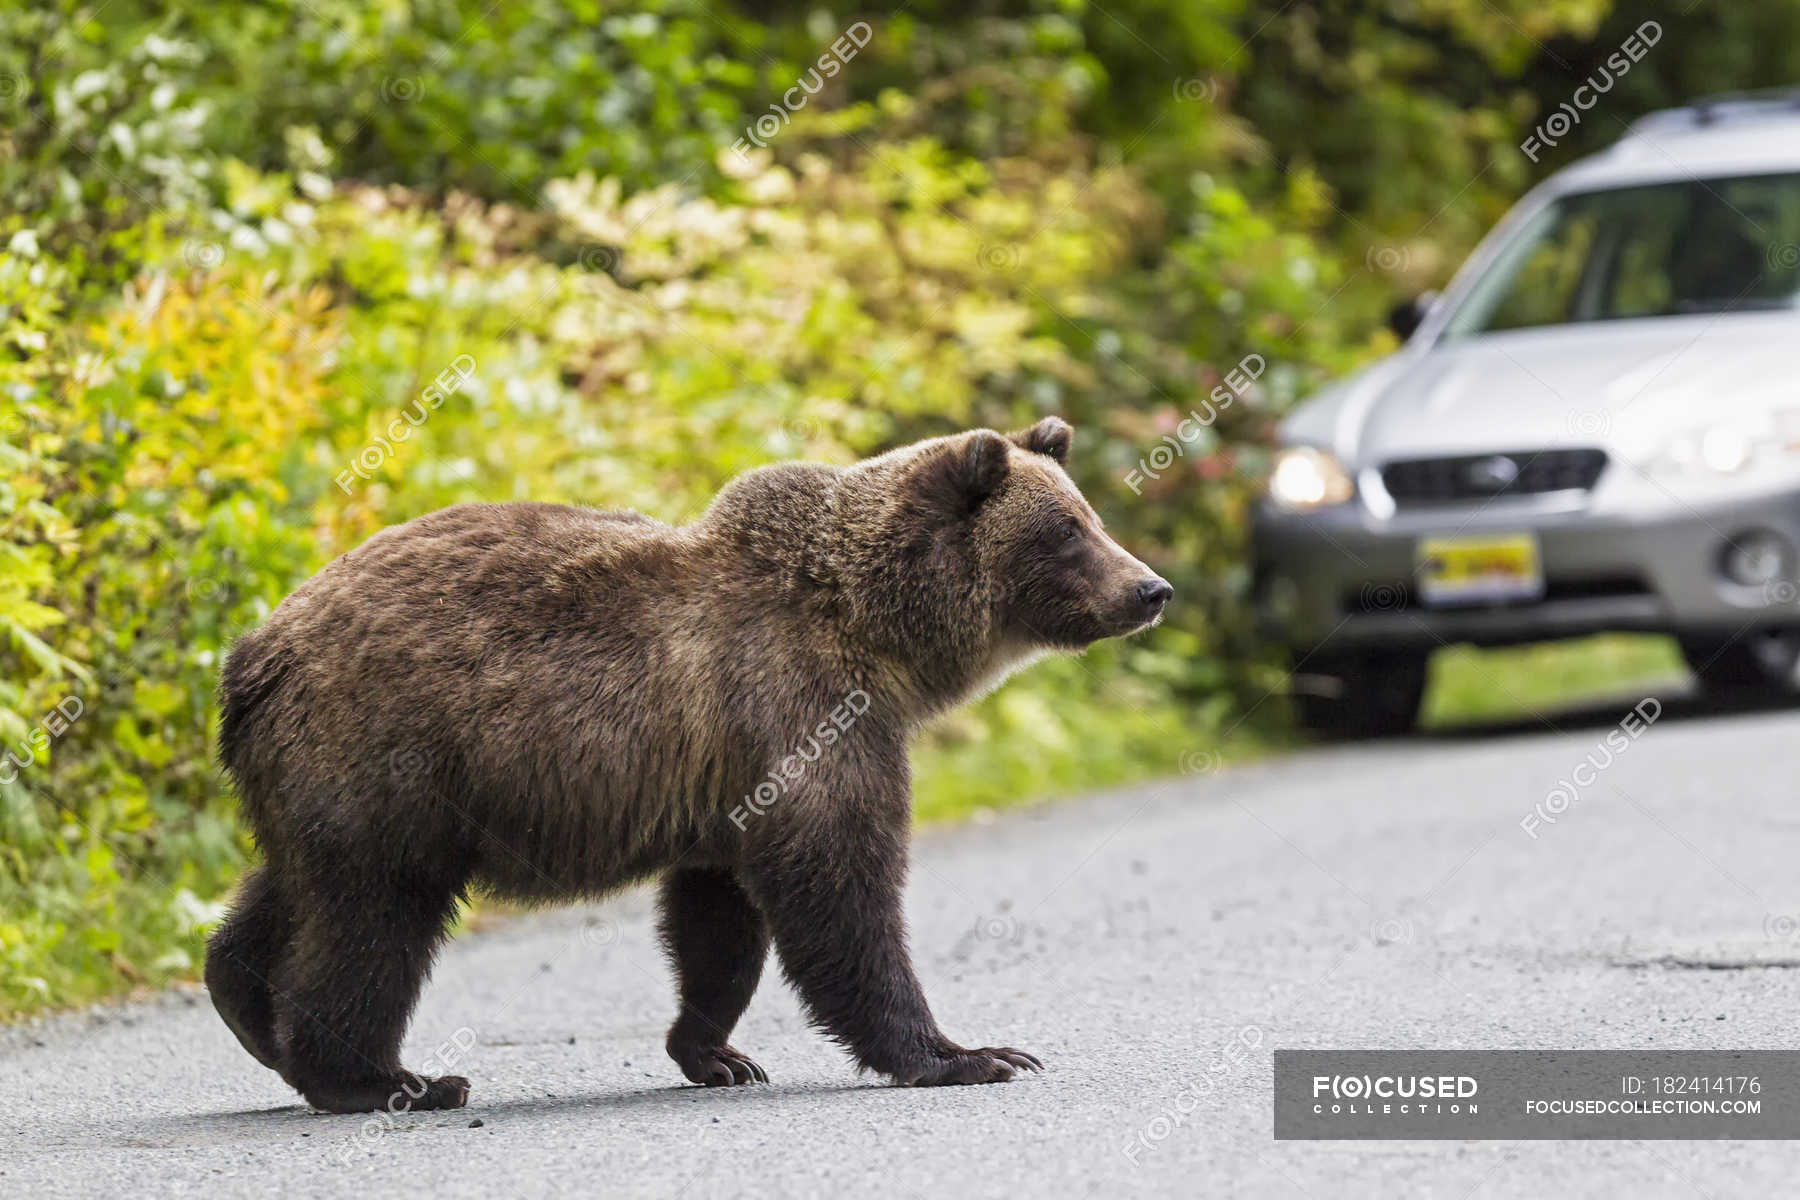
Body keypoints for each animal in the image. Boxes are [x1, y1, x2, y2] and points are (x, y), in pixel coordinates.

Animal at [204, 417, 1173, 1115]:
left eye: (1091, 517)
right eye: (1068, 530)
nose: (1151, 588)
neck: (876, 634)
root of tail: (250, 655)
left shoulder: (729, 773)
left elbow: (721, 919)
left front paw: (716, 1052)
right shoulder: (802, 712)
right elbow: (841, 889)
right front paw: (970, 1054)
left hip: (323, 776)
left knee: (295, 887)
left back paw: (246, 1007)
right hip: (391, 754)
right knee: (374, 920)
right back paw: (389, 1079)